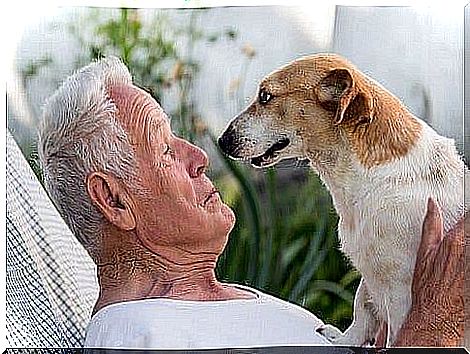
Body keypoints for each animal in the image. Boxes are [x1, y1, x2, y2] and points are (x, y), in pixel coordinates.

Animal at [218, 54, 468, 348]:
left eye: (266, 96)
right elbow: (362, 309)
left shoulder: (401, 292)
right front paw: (343, 340)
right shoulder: (370, 279)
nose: (222, 141)